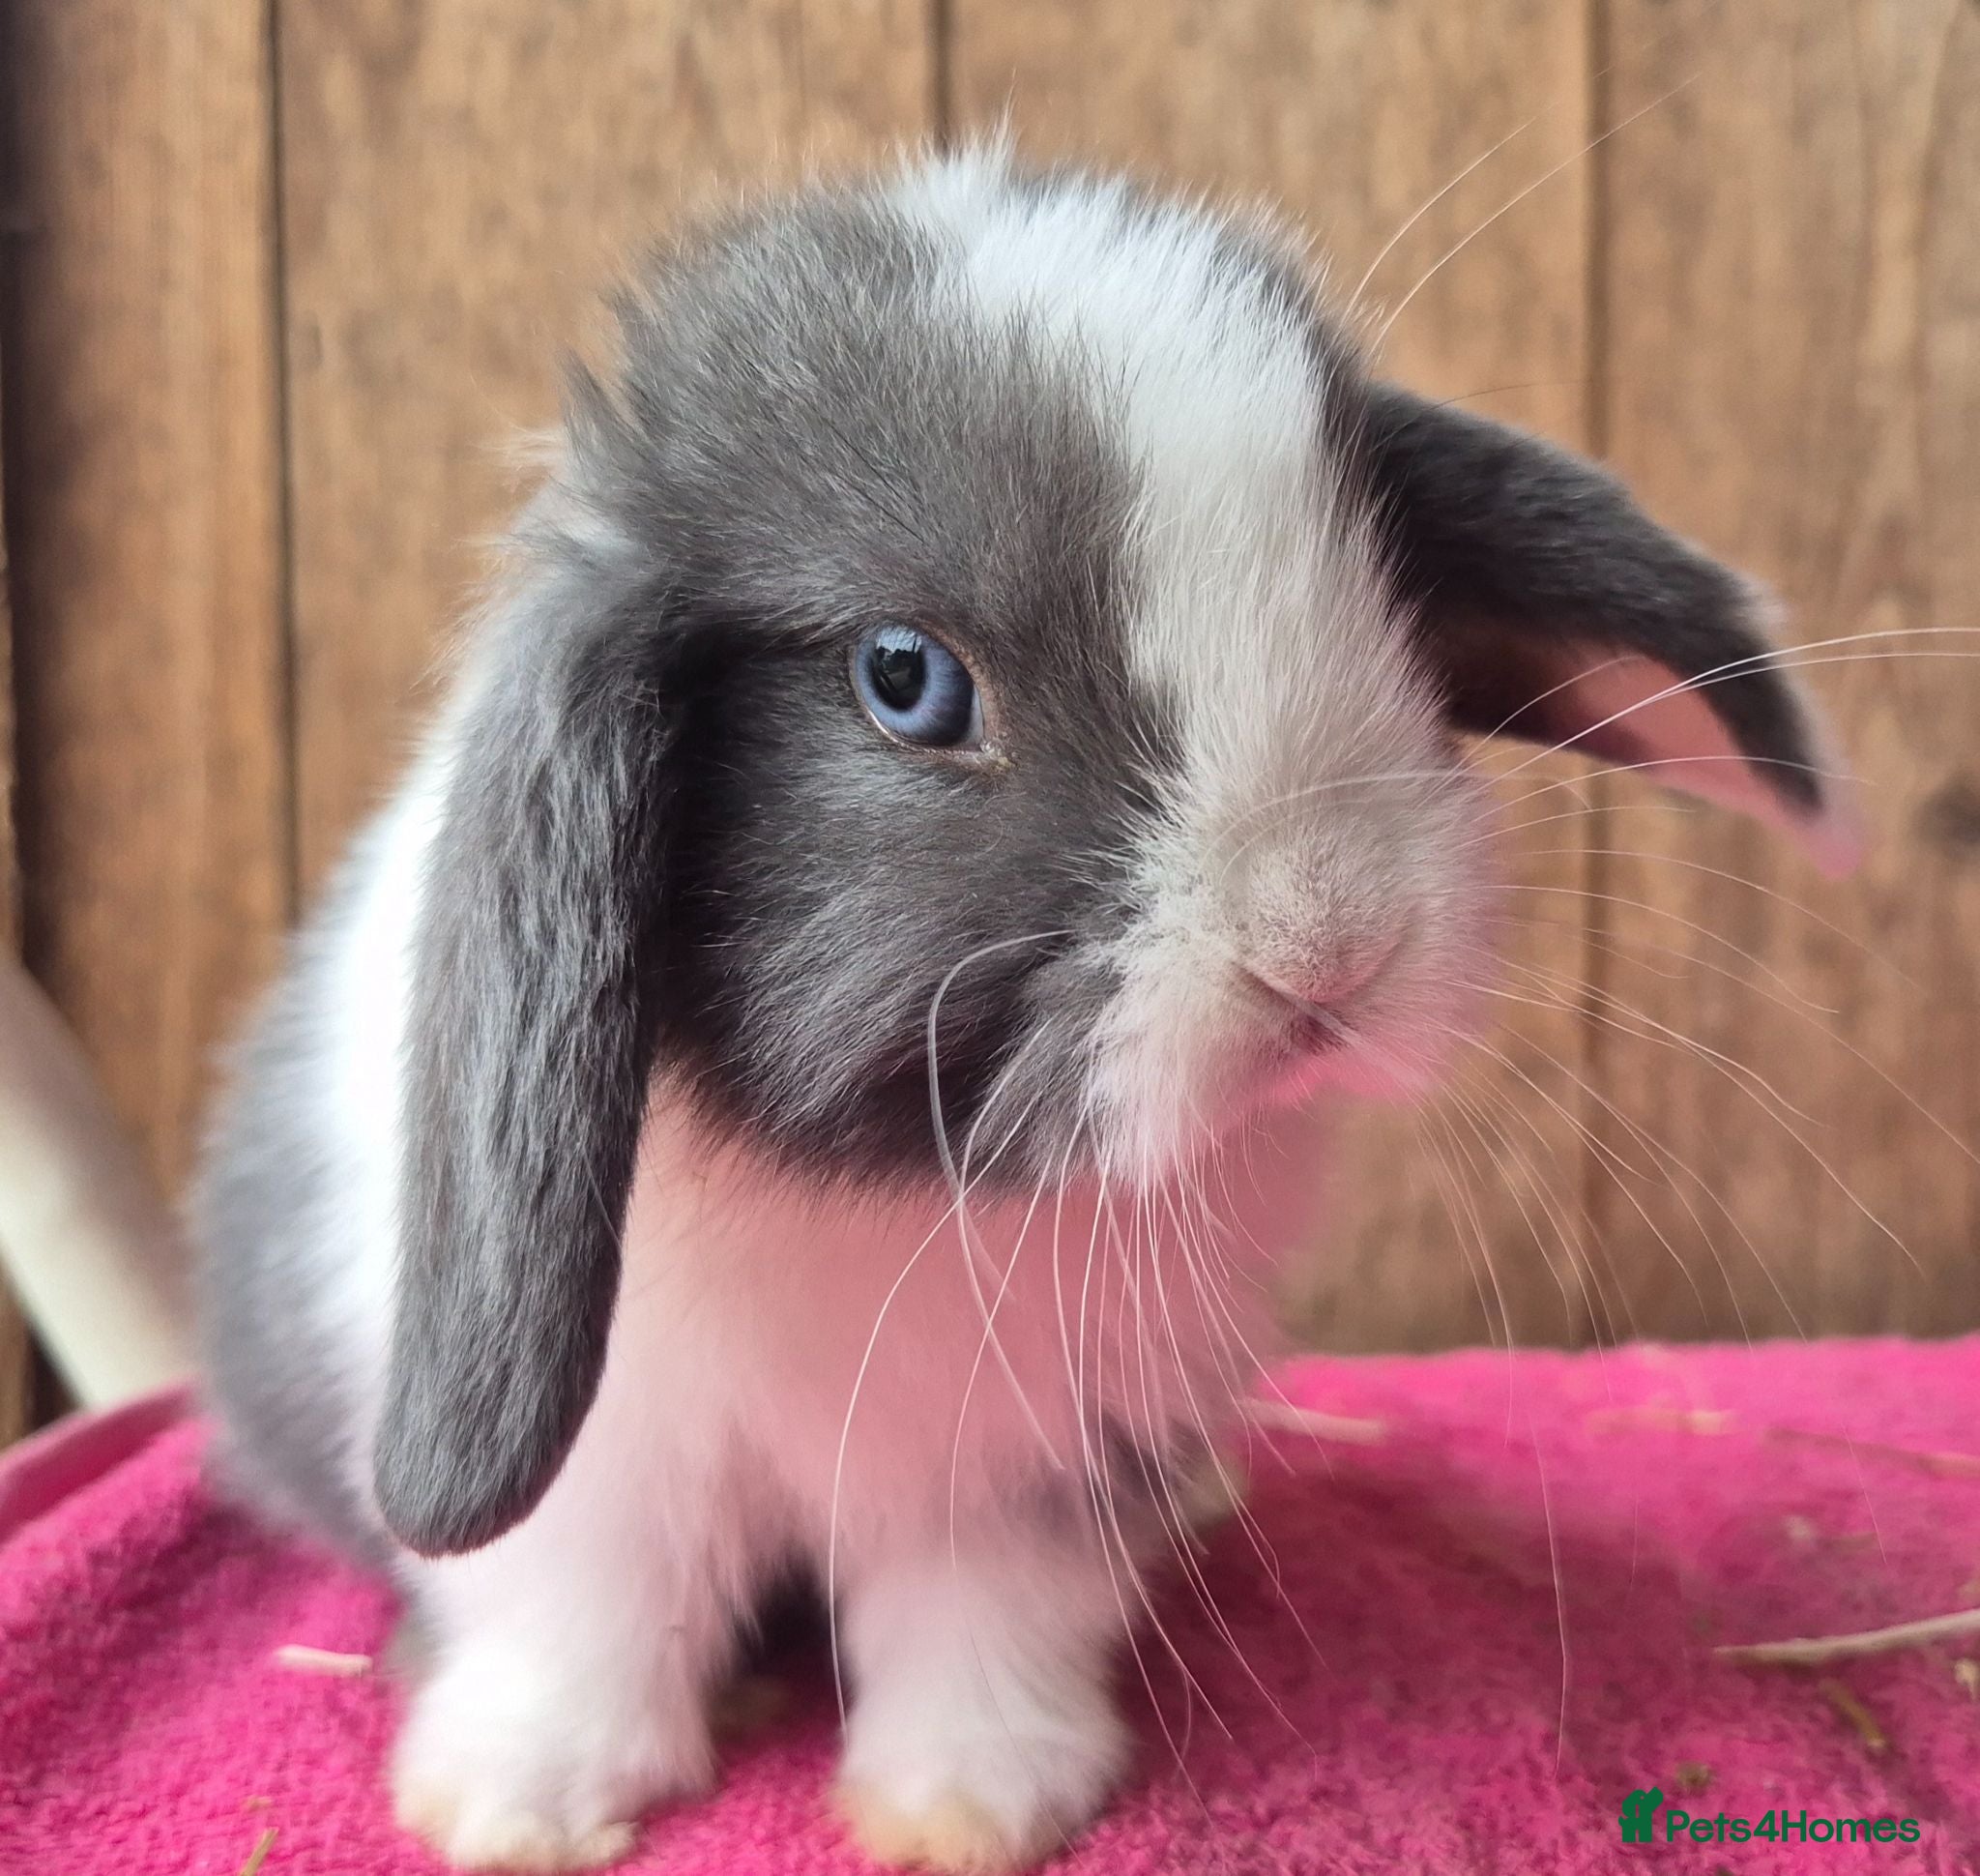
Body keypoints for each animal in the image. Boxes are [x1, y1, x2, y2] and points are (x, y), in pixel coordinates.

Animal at [193, 143, 1860, 1875]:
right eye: (906, 679)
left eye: (1386, 591)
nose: (1327, 943)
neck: (897, 1185)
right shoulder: (606, 1478)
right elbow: (581, 1621)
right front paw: (519, 1806)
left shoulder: (1028, 1469)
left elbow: (977, 1623)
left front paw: (969, 1809)